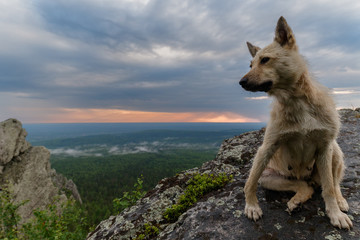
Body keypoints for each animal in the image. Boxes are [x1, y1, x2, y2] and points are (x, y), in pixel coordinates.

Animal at [239, 15, 352, 230]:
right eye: (250, 65)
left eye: (265, 60)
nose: (241, 82)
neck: (296, 100)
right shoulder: (267, 147)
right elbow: (249, 182)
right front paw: (251, 206)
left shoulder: (325, 147)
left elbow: (329, 189)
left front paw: (335, 214)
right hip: (271, 177)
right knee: (304, 186)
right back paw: (297, 199)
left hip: (334, 151)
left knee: (334, 183)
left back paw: (340, 201)